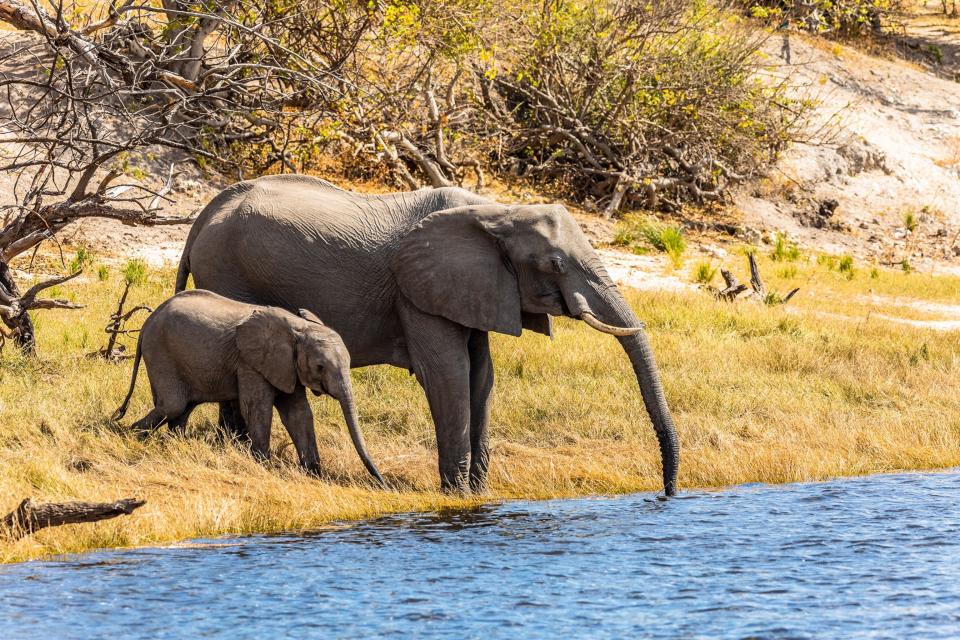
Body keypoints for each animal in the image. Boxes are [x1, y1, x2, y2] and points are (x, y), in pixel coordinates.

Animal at [113, 288, 382, 482]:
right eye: (320, 367)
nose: (381, 482)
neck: (297, 328)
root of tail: (147, 322)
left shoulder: (287, 366)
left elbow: (298, 414)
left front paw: (313, 473)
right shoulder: (250, 362)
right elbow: (258, 406)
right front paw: (264, 464)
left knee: (183, 409)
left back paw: (174, 444)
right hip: (161, 352)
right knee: (173, 406)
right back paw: (129, 437)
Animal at [174, 175, 684, 496]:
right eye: (555, 264)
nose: (667, 492)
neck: (495, 211)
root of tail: (205, 212)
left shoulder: (472, 288)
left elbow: (481, 376)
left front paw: (480, 491)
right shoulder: (416, 291)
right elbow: (448, 374)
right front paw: (457, 495)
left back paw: (234, 451)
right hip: (228, 270)